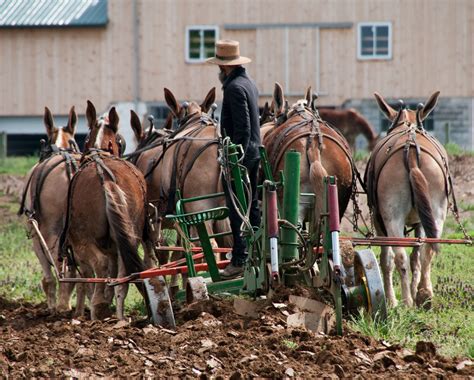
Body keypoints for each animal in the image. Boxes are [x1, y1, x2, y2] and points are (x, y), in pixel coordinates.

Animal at [19, 106, 80, 312]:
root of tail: (71, 168)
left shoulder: (36, 235)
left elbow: (47, 270)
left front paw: (52, 302)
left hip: (50, 230)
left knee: (57, 258)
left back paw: (61, 304)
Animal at [61, 101, 147, 320]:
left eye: (84, 139)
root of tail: (105, 177)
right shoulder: (116, 245)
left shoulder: (81, 250)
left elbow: (89, 279)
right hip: (128, 237)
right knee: (124, 276)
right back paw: (120, 318)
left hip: (83, 242)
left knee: (99, 266)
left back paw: (98, 308)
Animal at [364, 92, 450, 308]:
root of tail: (411, 150)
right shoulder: (421, 221)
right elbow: (416, 257)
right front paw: (414, 289)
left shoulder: (380, 221)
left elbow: (388, 259)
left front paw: (391, 299)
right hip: (436, 214)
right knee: (428, 250)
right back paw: (424, 294)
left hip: (391, 218)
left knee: (400, 256)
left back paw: (406, 300)